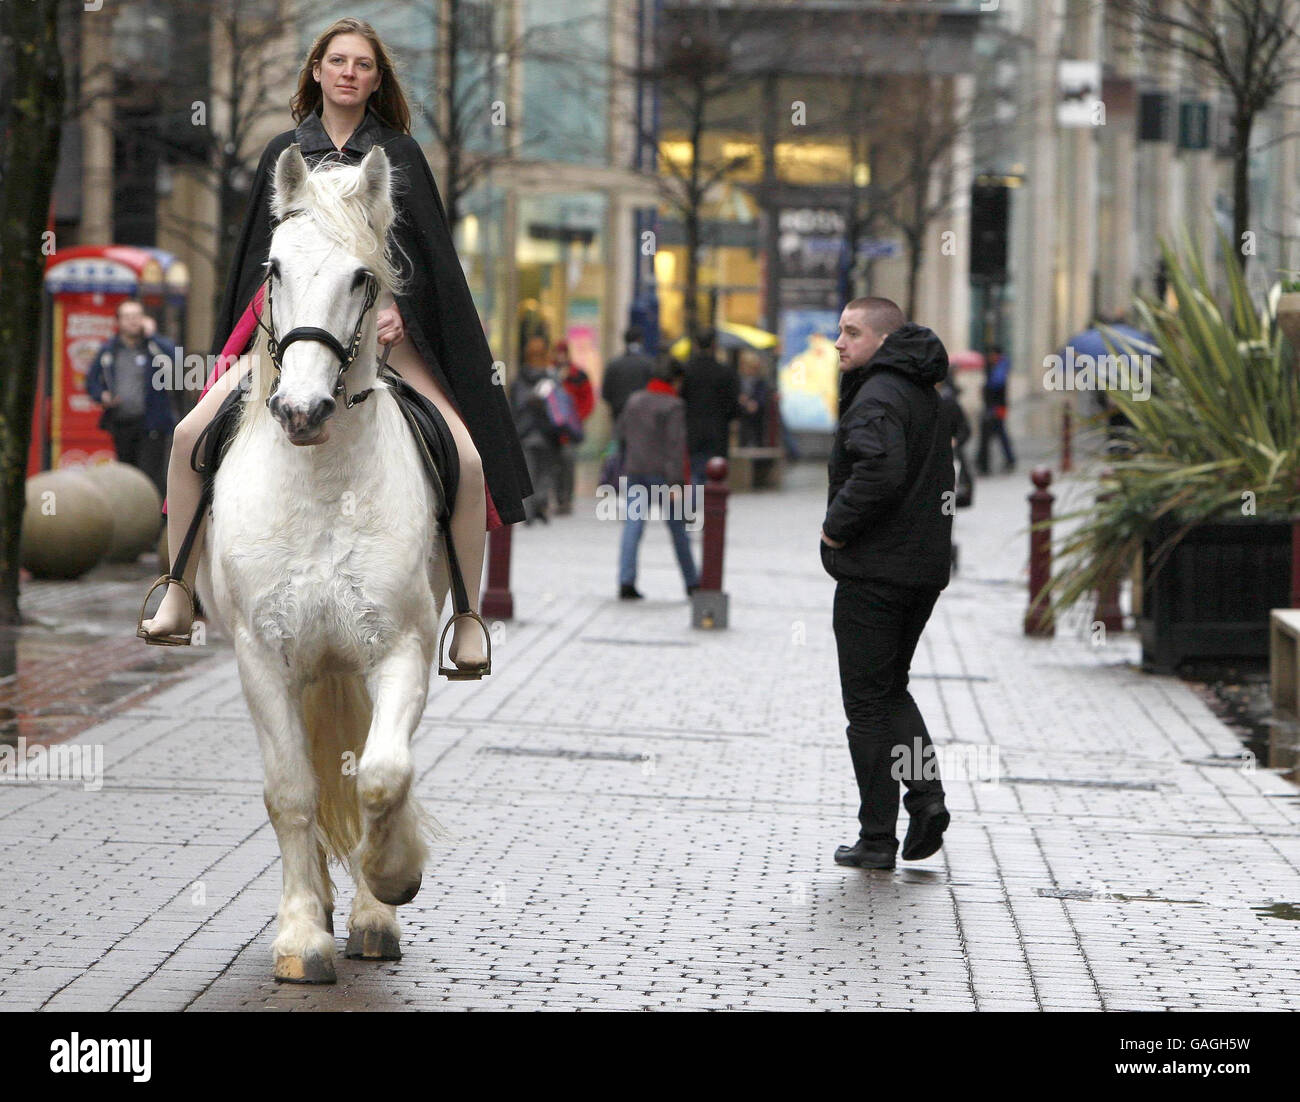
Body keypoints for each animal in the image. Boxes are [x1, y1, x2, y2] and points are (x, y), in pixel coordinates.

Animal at [198, 144, 447, 982]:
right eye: (274, 267)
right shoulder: (261, 657)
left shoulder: (398, 648)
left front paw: (391, 880)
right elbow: (292, 793)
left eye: (363, 277)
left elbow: (380, 773)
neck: (322, 487)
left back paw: (368, 908)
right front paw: (303, 933)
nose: (301, 411)